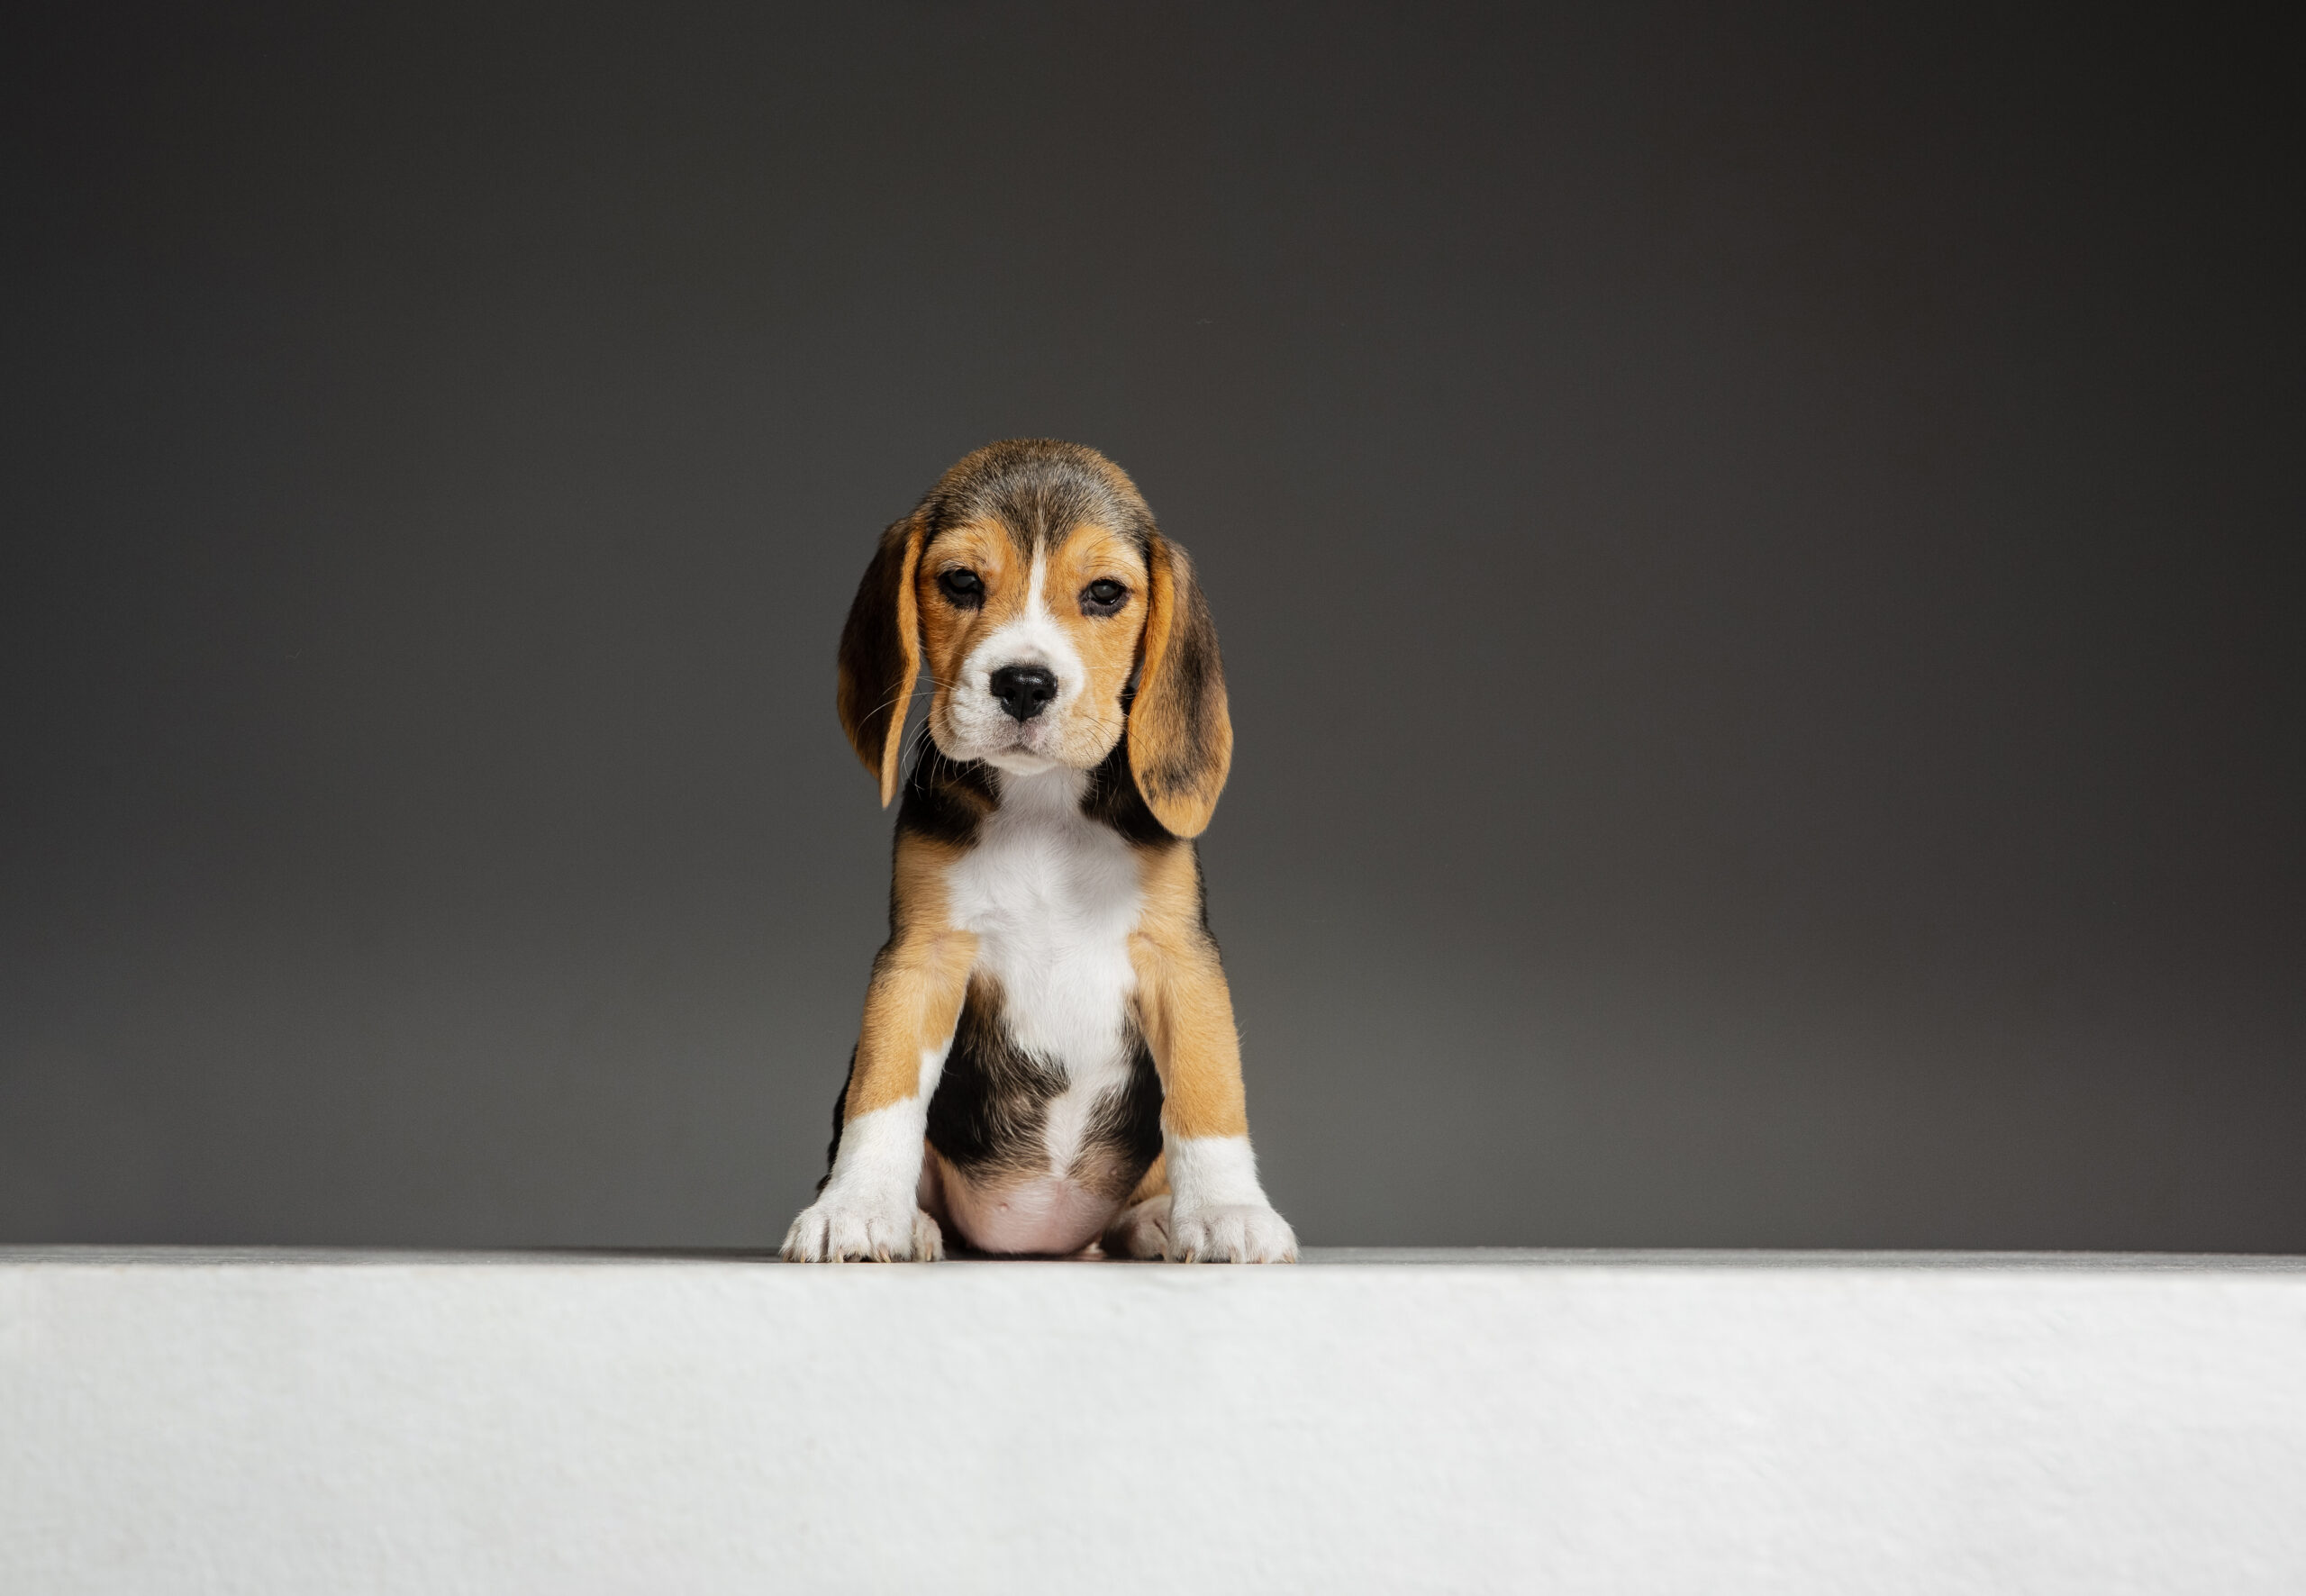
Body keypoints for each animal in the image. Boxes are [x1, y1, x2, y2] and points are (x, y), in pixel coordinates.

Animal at [784, 442, 1300, 1264]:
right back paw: (917, 1223)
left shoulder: (1181, 957)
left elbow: (1209, 1093)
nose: (1024, 683)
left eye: (1105, 593)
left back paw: (1158, 1220)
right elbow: (882, 1092)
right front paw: (855, 1208)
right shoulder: (921, 957)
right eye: (961, 582)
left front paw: (1229, 1212)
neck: (1044, 804)